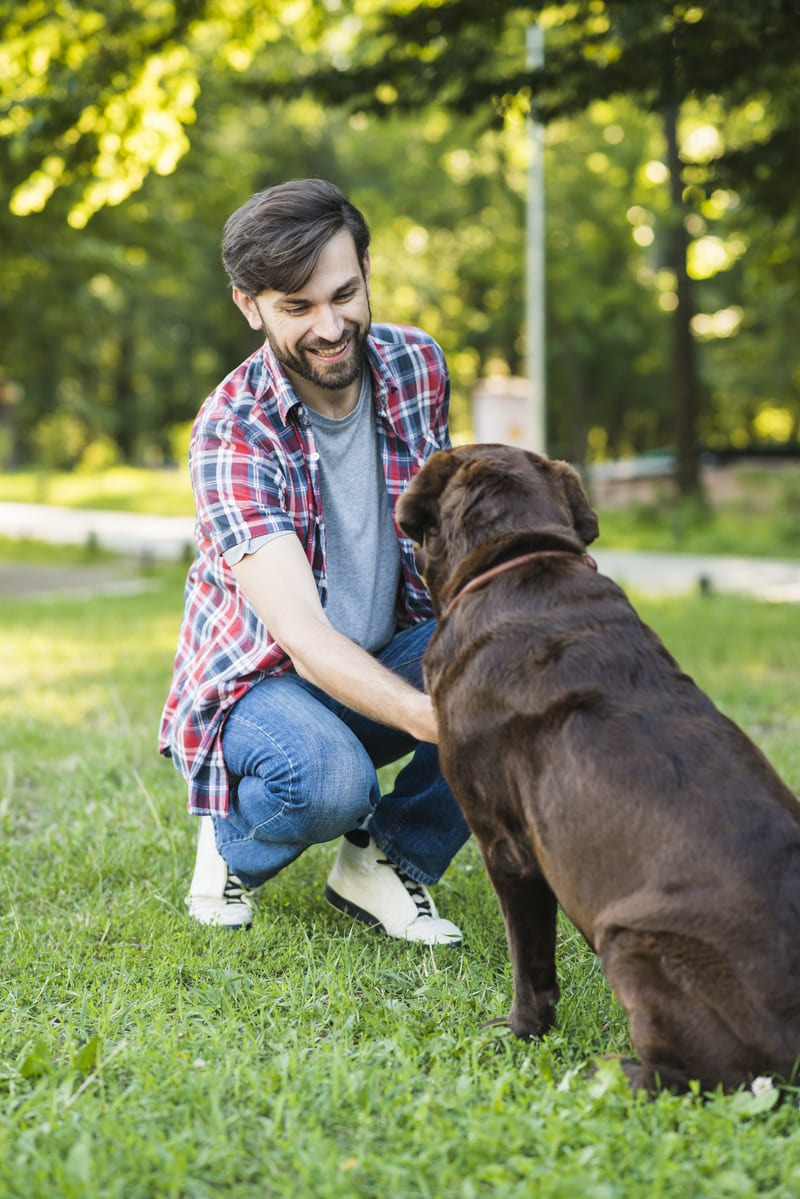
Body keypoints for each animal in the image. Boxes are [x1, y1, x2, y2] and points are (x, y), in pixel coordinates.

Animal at [398, 446, 800, 1093]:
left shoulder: (508, 847)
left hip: (634, 942)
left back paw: (608, 1071)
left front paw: (520, 1031)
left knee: (700, 1076)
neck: (513, 560)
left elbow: (529, 960)